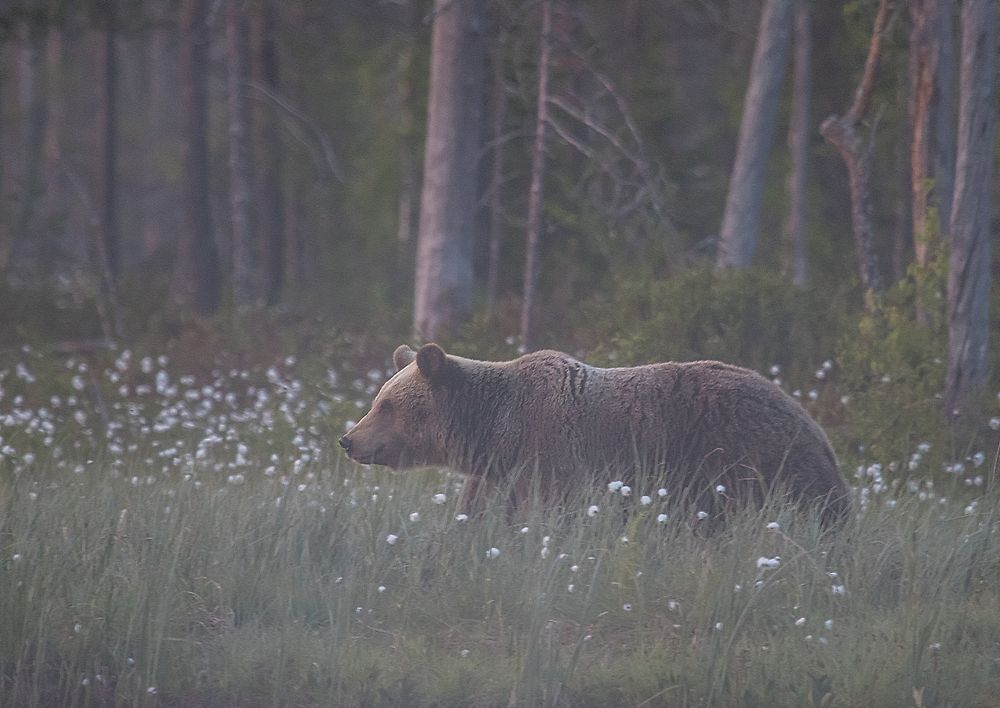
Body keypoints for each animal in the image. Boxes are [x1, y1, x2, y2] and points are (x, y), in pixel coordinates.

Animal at [340, 342, 848, 520]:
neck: (494, 430)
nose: (348, 439)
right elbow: (484, 517)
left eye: (385, 405)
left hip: (746, 459)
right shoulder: (498, 476)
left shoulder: (549, 452)